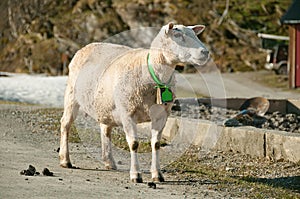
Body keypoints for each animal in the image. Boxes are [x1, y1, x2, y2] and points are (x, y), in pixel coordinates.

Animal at [58, 22, 209, 183]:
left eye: (195, 35)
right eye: (177, 35)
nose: (205, 52)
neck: (152, 73)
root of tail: (87, 46)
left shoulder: (162, 115)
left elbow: (156, 144)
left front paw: (157, 174)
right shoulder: (127, 113)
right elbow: (134, 144)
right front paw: (136, 175)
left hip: (105, 104)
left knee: (105, 128)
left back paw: (109, 162)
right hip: (72, 95)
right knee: (65, 123)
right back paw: (65, 160)